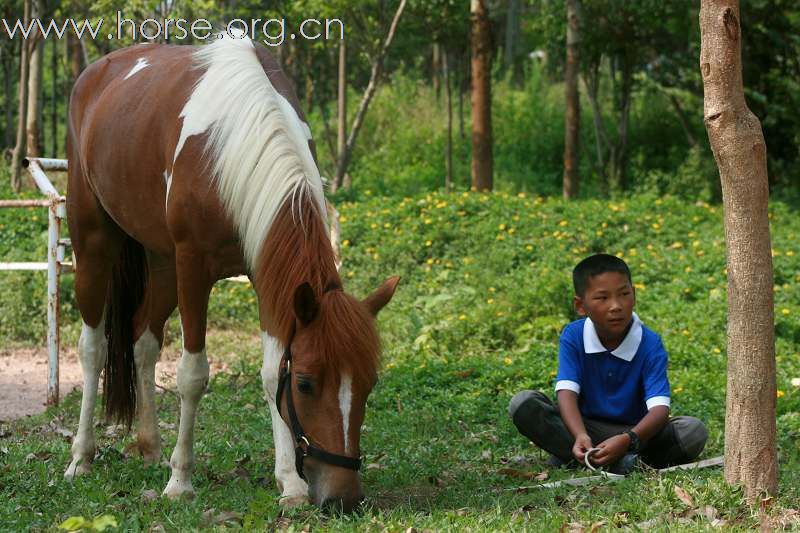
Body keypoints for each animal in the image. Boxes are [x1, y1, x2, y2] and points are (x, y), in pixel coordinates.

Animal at [62, 33, 400, 512]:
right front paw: (180, 480)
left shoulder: (269, 274)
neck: (235, 143)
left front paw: (289, 483)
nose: (343, 497)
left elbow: (270, 370)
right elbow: (192, 375)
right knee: (93, 347)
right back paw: (82, 458)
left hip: (161, 260)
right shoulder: (193, 267)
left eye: (369, 383)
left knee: (143, 341)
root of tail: (95, 74)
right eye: (306, 384)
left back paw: (150, 446)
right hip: (94, 241)